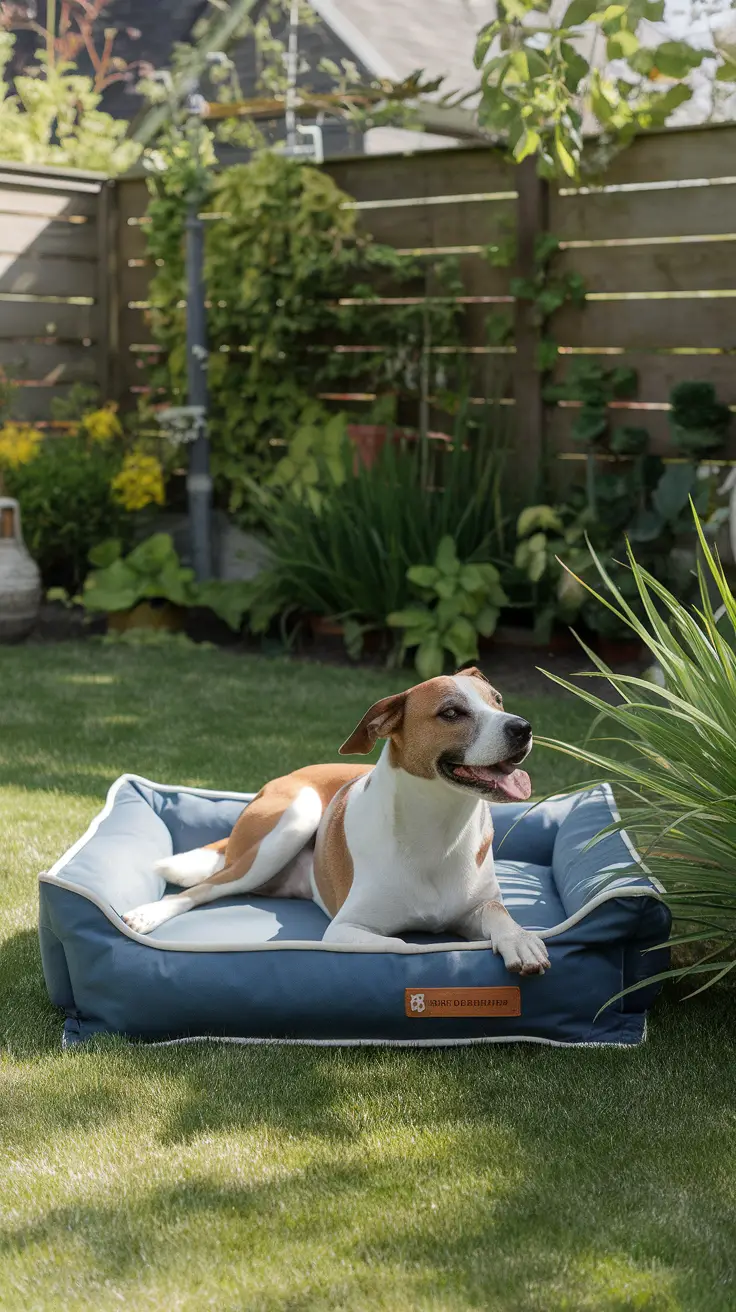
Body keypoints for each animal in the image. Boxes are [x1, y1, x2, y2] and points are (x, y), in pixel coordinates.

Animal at [123, 666, 551, 976]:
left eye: (498, 700)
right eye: (451, 713)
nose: (523, 727)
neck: (440, 825)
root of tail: (280, 779)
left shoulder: (479, 905)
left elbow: (499, 913)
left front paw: (520, 940)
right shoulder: (346, 929)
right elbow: (401, 947)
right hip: (291, 823)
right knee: (202, 889)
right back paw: (148, 914)